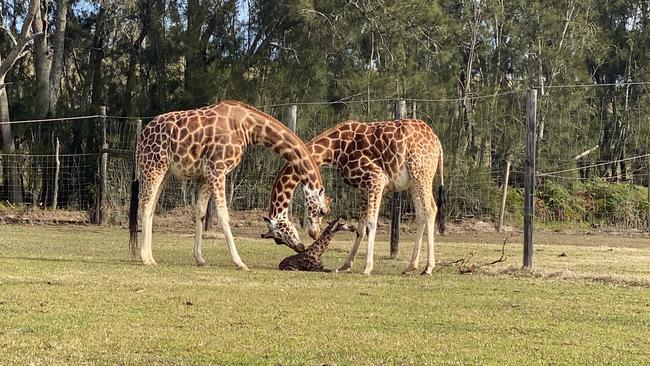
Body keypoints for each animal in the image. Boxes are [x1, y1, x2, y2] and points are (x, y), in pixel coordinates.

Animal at [127, 100, 330, 268]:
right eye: (322, 211)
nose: (310, 236)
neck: (248, 128)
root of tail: (141, 137)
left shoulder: (206, 174)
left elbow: (200, 212)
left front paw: (200, 259)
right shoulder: (217, 169)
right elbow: (224, 215)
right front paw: (240, 262)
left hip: (165, 170)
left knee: (152, 205)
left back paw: (151, 257)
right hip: (153, 165)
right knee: (145, 203)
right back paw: (145, 258)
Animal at [260, 118, 442, 276]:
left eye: (278, 238)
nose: (312, 234)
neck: (335, 149)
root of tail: (437, 143)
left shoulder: (376, 178)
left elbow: (371, 223)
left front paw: (367, 267)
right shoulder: (363, 186)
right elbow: (361, 227)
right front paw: (346, 265)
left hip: (421, 173)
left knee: (431, 210)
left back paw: (428, 268)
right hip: (414, 181)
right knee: (422, 214)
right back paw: (411, 267)